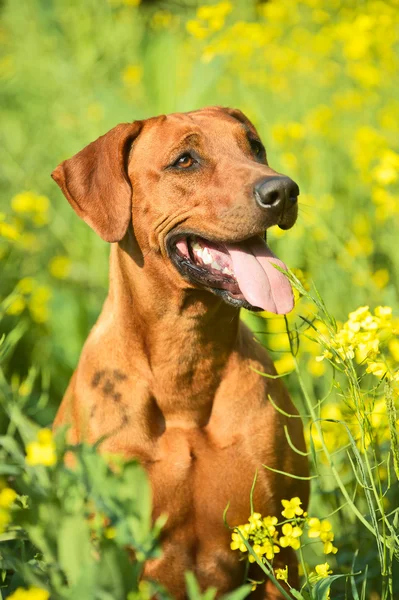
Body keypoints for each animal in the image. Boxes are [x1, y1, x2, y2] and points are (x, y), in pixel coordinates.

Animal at [51, 109, 310, 600]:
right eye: (185, 160)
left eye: (255, 147)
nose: (283, 190)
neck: (185, 369)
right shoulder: (107, 560)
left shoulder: (280, 550)